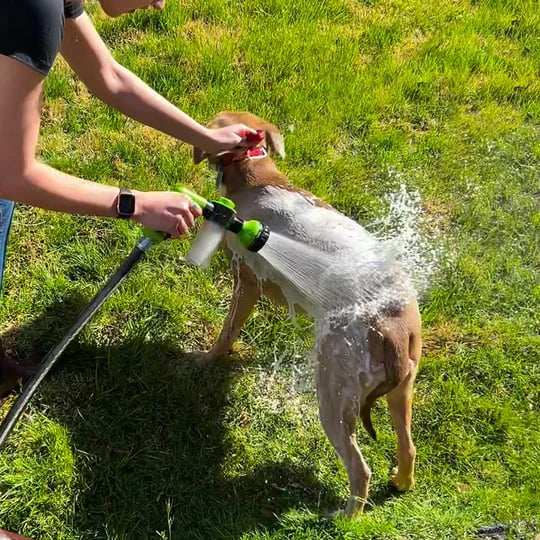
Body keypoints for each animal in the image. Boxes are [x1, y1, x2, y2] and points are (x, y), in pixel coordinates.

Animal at [192, 112, 424, 516]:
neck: (257, 176)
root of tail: (392, 330)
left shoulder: (246, 281)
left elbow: (226, 332)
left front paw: (207, 359)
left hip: (334, 398)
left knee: (360, 469)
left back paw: (346, 518)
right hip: (402, 391)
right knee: (408, 447)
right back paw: (400, 482)